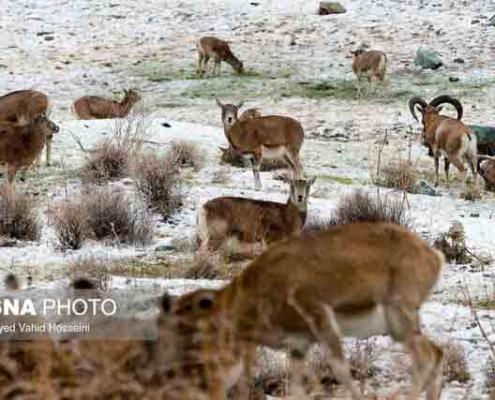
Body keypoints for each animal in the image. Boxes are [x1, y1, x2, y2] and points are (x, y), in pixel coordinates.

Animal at [163, 223, 446, 400]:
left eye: (189, 316)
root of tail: (435, 256)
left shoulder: (321, 319)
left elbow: (341, 370)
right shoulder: (298, 346)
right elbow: (297, 389)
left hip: (400, 318)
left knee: (426, 357)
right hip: (399, 328)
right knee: (437, 353)